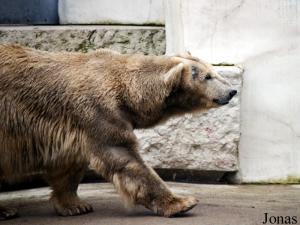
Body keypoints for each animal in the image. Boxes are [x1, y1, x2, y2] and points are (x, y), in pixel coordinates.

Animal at [0, 43, 237, 219]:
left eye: (214, 71)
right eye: (207, 76)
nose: (232, 91)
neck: (126, 92)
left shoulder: (76, 125)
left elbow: (68, 165)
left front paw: (74, 205)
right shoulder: (98, 112)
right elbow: (124, 158)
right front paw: (182, 202)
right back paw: (7, 210)